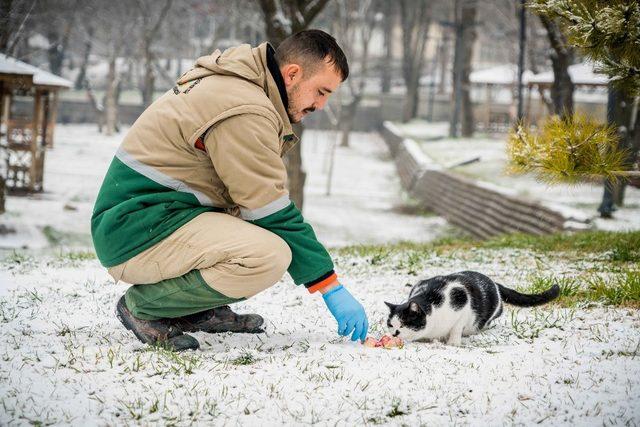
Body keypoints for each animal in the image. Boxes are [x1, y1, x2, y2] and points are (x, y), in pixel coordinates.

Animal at [384, 270, 560, 348]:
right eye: (391, 325)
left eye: (404, 324)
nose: (394, 333)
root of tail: (494, 283)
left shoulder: (462, 307)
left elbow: (456, 328)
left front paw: (453, 343)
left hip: (491, 311)